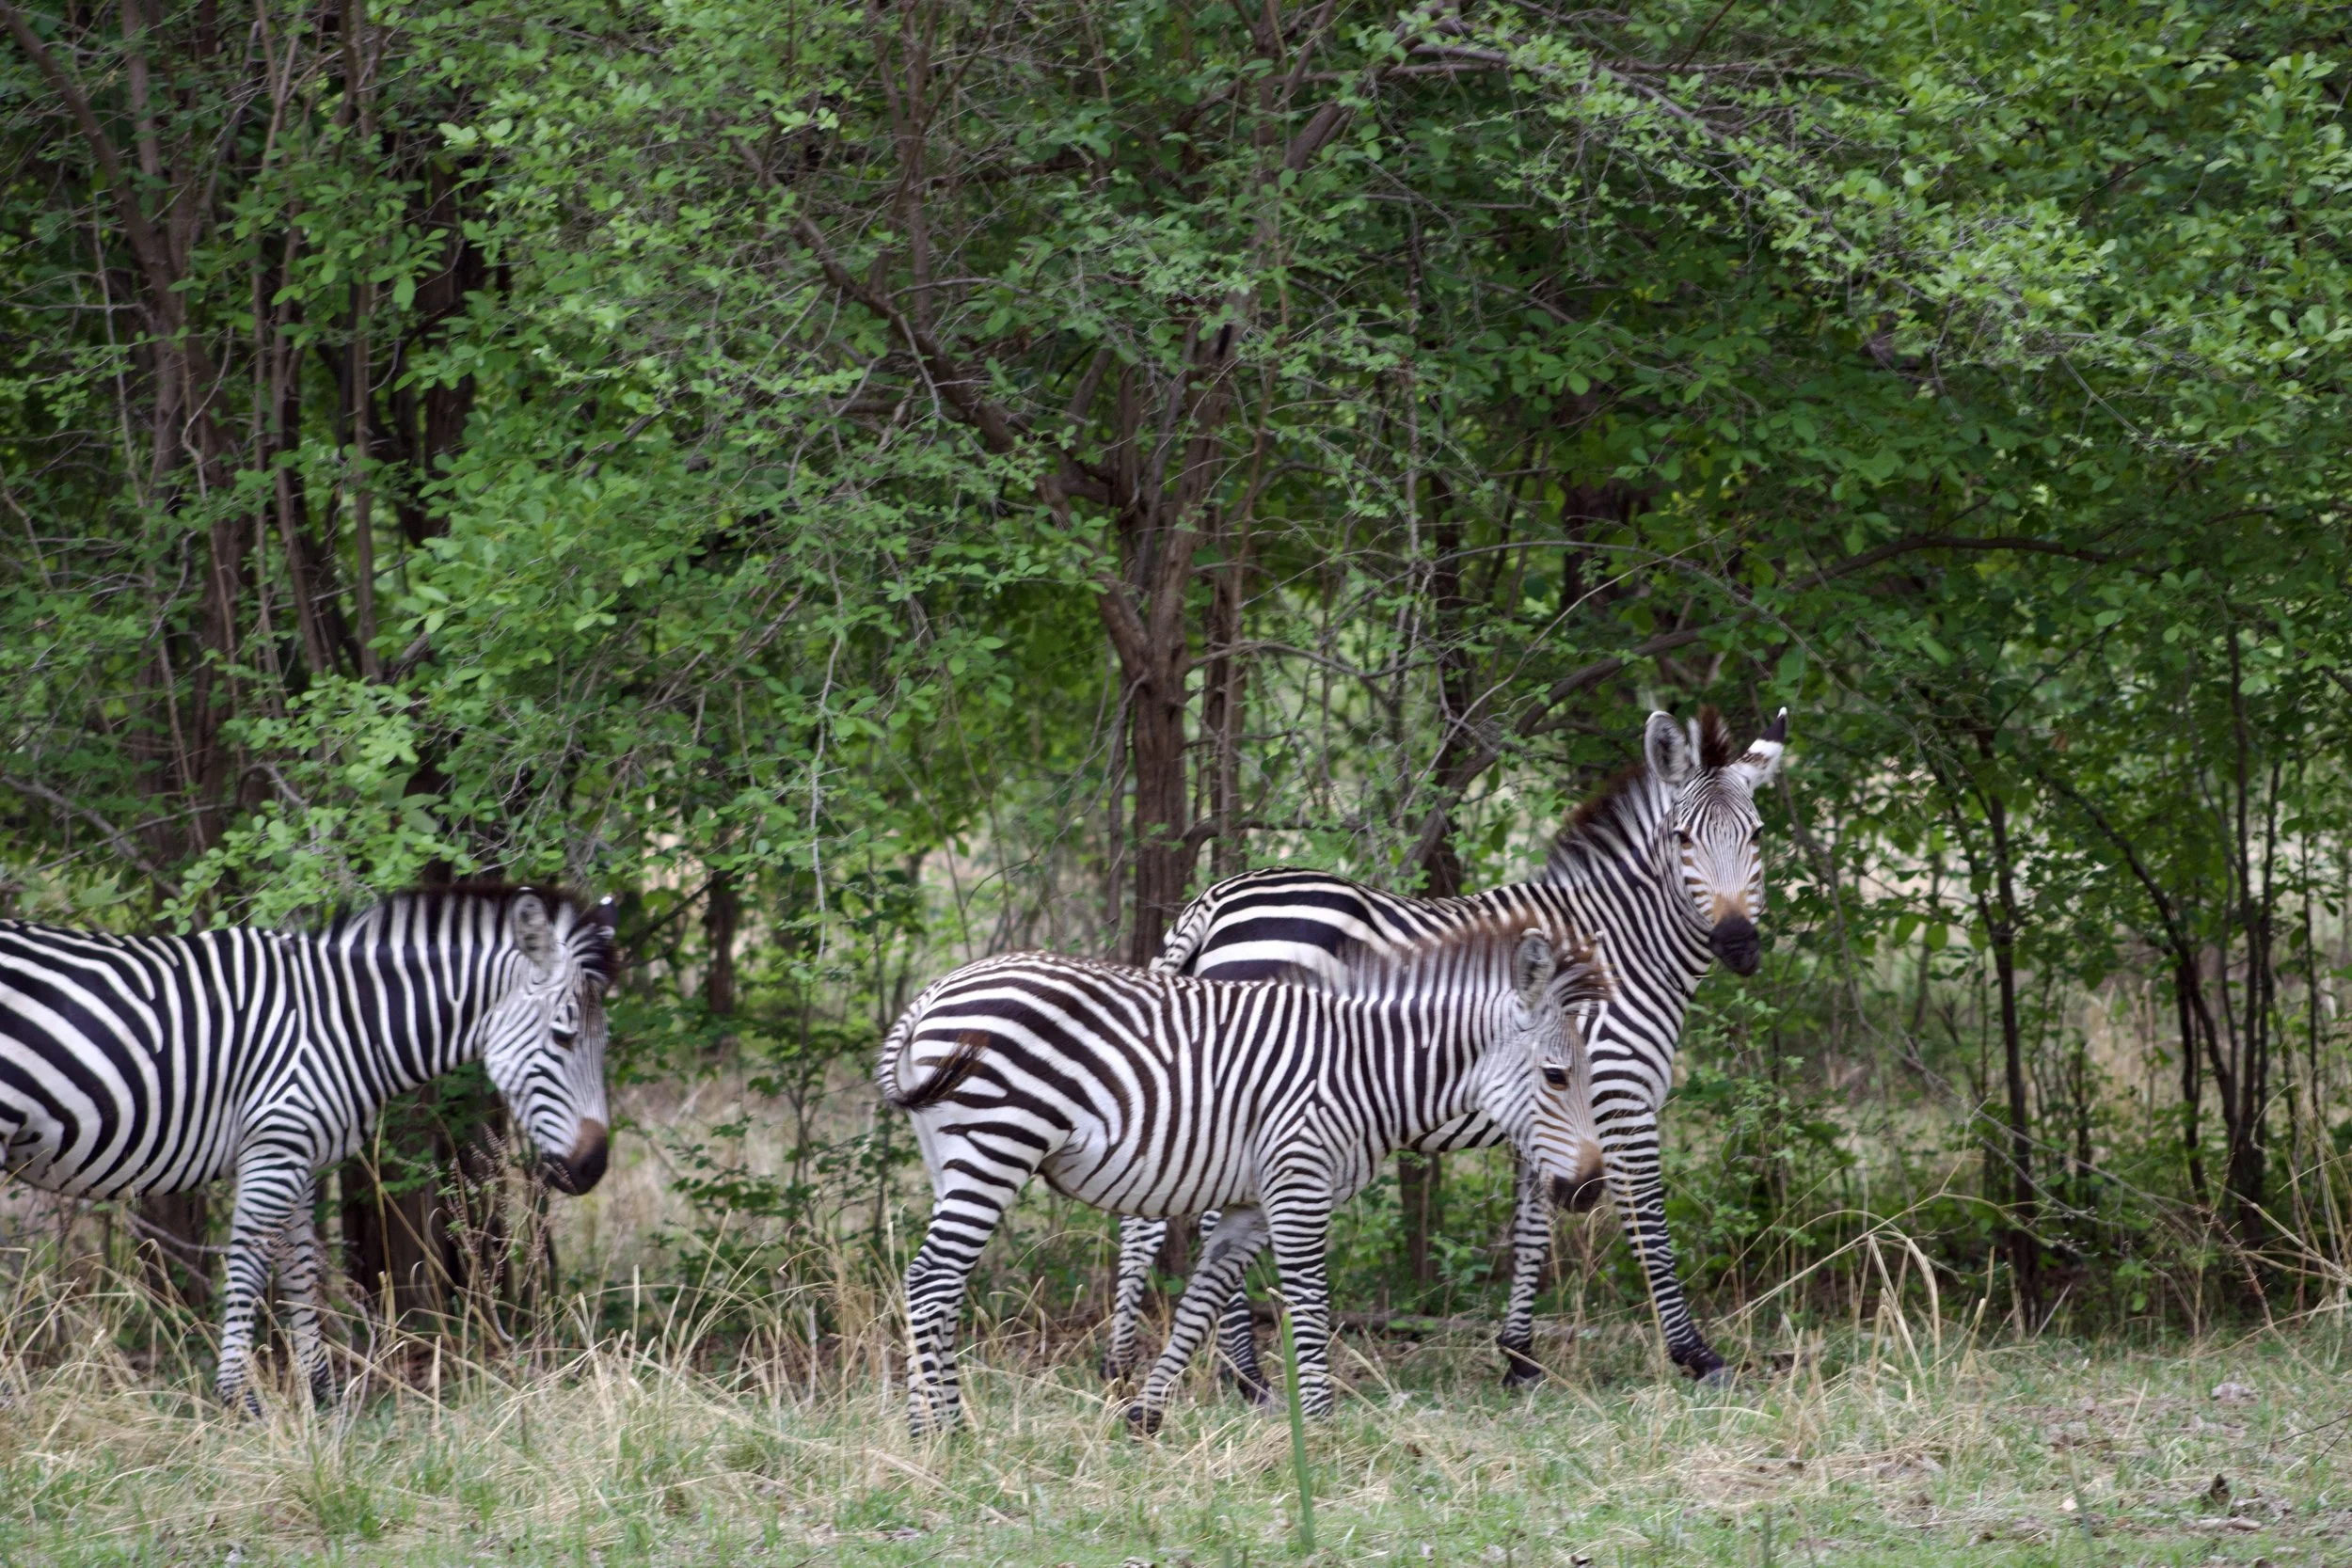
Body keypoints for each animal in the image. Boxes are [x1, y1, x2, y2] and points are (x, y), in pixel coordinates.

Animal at [0, 883, 616, 1409]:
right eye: (563, 1037)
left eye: (603, 1038)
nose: (592, 1169)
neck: (346, 1023)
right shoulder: (274, 1146)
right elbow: (250, 1268)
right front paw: (241, 1403)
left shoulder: (301, 1157)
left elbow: (300, 1273)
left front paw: (322, 1400)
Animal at [878, 916, 1612, 1436]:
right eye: (1557, 1076)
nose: (1589, 1189)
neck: (1366, 1068)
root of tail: (935, 992)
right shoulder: (1299, 1185)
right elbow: (1309, 1307)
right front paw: (1320, 1429)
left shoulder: (1250, 1207)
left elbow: (1198, 1307)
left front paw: (1144, 1417)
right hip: (997, 1145)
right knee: (931, 1278)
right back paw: (942, 1431)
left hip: (954, 1158)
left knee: (941, 1283)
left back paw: (938, 1427)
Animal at [1105, 705, 1786, 1391]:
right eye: (1683, 840)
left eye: (1756, 837)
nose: (1739, 944)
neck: (1617, 942)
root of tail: (1213, 899)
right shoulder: (1619, 1092)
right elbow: (1648, 1219)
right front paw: (1696, 1353)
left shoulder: (1546, 1105)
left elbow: (1533, 1225)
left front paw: (1519, 1357)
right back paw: (1244, 1373)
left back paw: (1129, 1364)